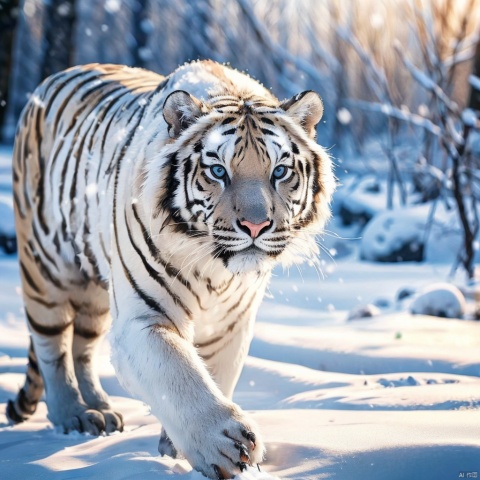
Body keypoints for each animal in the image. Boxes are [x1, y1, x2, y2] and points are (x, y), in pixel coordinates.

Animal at [9, 59, 336, 476]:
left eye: (280, 172)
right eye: (218, 171)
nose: (256, 226)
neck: (217, 271)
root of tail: (56, 76)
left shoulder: (231, 324)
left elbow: (214, 374)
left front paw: (177, 451)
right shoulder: (143, 317)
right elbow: (179, 375)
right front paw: (225, 446)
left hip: (94, 292)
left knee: (83, 345)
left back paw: (99, 409)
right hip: (47, 268)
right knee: (53, 345)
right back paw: (72, 415)